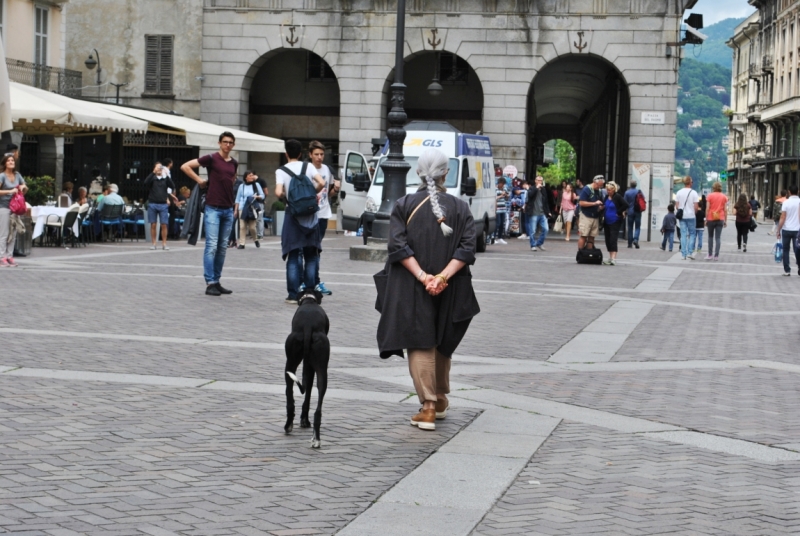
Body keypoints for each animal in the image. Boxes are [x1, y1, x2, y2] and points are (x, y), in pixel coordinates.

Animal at [284, 288, 328, 448]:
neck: (309, 301)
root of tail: (308, 327)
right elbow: (308, 390)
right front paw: (304, 420)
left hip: (289, 363)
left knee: (289, 394)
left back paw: (288, 425)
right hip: (322, 370)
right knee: (318, 409)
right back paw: (316, 439)